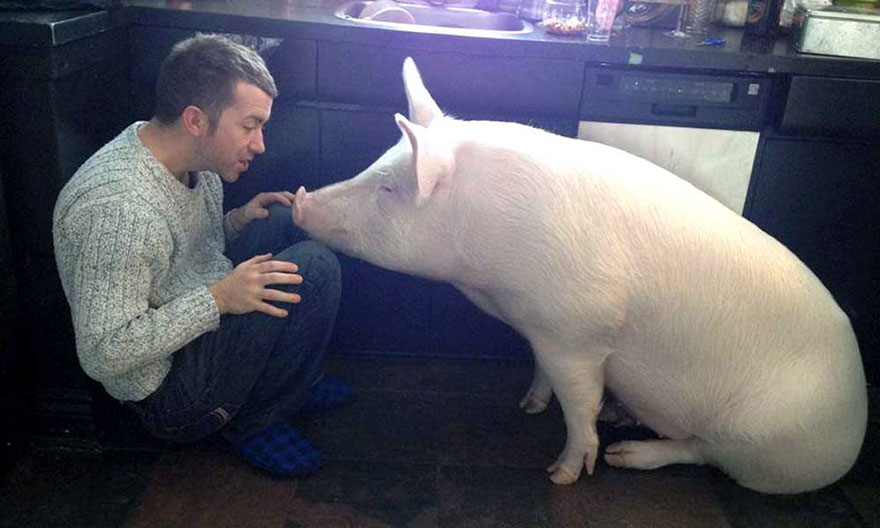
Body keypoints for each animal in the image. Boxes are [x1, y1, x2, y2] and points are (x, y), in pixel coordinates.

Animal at [292, 57, 868, 494]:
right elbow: (544, 373)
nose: (299, 200)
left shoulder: (579, 332)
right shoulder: (539, 327)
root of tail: (854, 429)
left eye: (389, 187)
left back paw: (623, 454)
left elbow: (580, 405)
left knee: (703, 451)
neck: (488, 275)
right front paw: (527, 406)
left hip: (756, 443)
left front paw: (561, 475)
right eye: (376, 165)